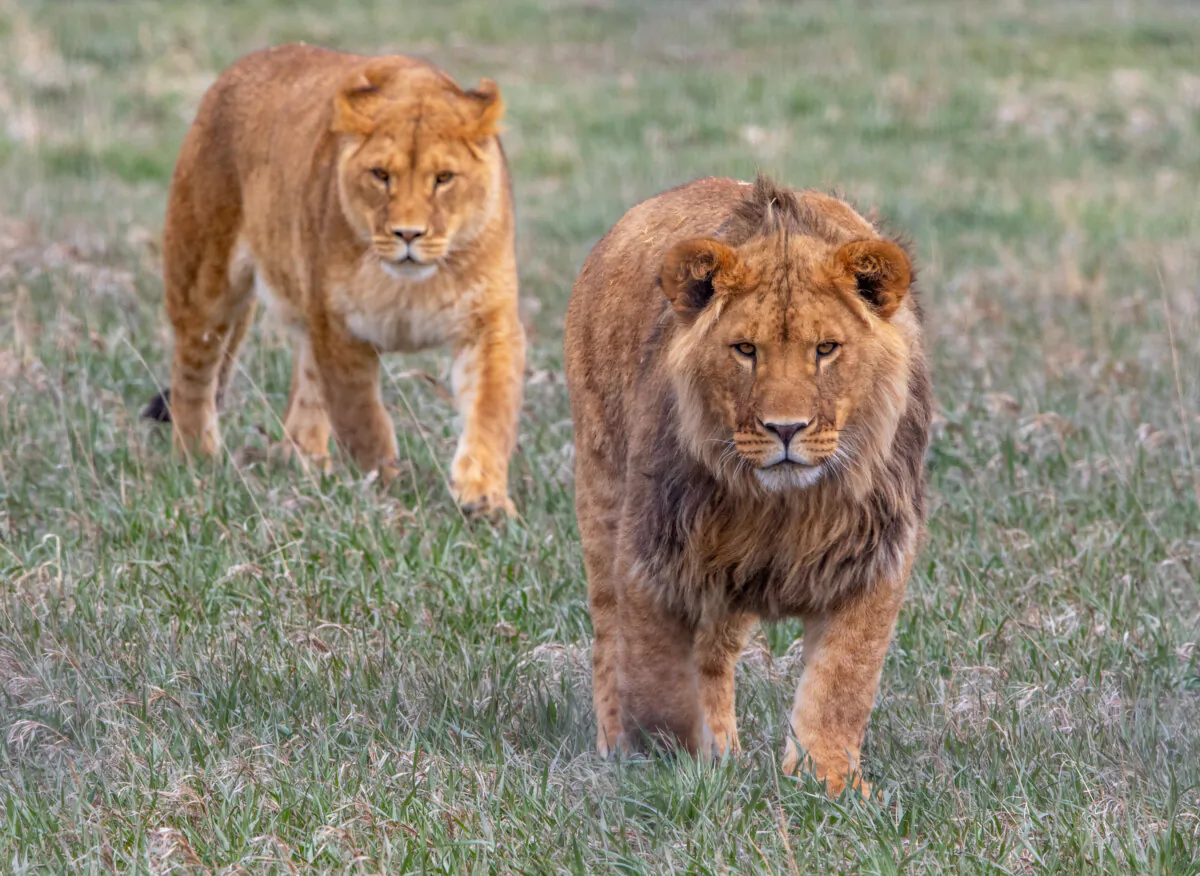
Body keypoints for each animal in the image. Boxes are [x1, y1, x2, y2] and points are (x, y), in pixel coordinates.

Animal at [143, 44, 524, 515]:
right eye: (381, 175)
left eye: (444, 179)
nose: (408, 234)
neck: (410, 284)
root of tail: (239, 67)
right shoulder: (339, 327)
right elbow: (362, 418)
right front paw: (387, 487)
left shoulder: (489, 324)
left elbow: (491, 410)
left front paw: (484, 498)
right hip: (203, 281)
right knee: (192, 375)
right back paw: (199, 461)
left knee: (303, 393)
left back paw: (306, 466)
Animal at [564, 175, 932, 796]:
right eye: (745, 350)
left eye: (825, 349)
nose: (786, 429)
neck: (782, 507)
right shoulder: (653, 556)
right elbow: (656, 680)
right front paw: (673, 769)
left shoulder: (873, 558)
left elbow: (843, 685)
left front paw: (830, 785)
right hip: (602, 486)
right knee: (609, 636)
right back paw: (624, 747)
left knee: (714, 657)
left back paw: (728, 753)